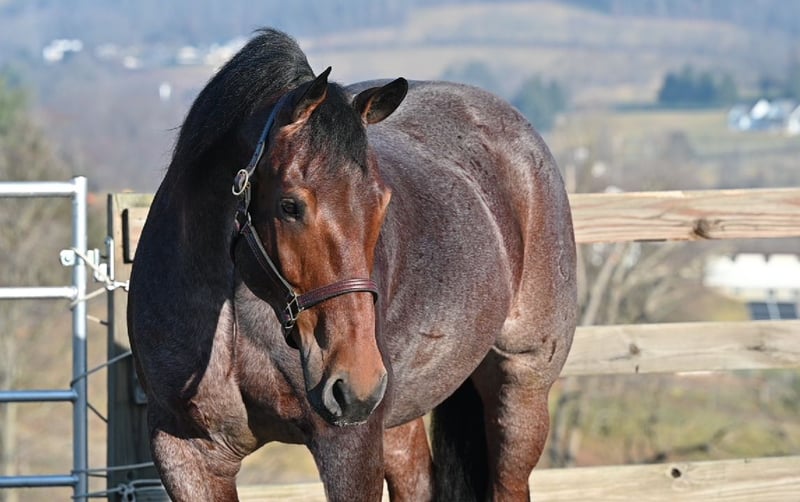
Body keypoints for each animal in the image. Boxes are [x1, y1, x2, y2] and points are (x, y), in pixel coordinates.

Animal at [128, 28, 576, 502]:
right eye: (290, 206)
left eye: (383, 201)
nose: (355, 383)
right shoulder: (189, 455)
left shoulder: (350, 446)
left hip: (520, 387)